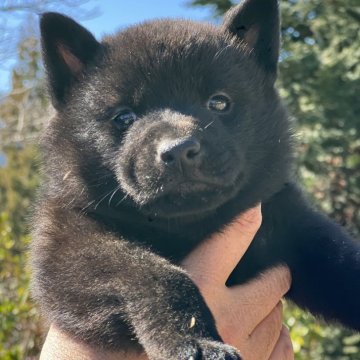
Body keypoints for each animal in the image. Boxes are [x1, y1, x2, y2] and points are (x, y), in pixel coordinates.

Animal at [31, 0, 360, 358]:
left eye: (219, 102)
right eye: (124, 117)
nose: (178, 150)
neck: (190, 225)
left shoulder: (294, 224)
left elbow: (344, 265)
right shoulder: (68, 246)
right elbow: (153, 273)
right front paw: (195, 341)